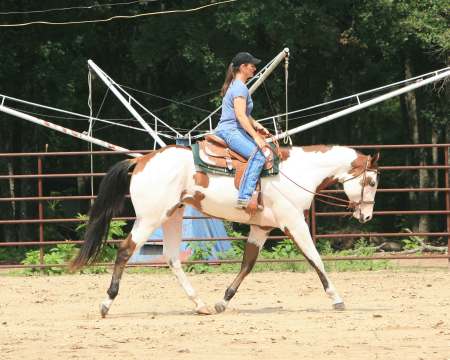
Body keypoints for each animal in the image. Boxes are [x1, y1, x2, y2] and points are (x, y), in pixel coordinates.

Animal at [70, 142, 380, 316]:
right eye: (372, 181)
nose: (366, 216)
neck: (298, 173)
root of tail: (141, 160)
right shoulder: (294, 222)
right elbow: (315, 259)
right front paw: (337, 298)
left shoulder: (261, 227)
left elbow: (247, 264)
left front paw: (222, 301)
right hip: (150, 218)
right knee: (125, 251)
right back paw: (106, 304)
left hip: (172, 216)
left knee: (172, 259)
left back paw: (201, 305)